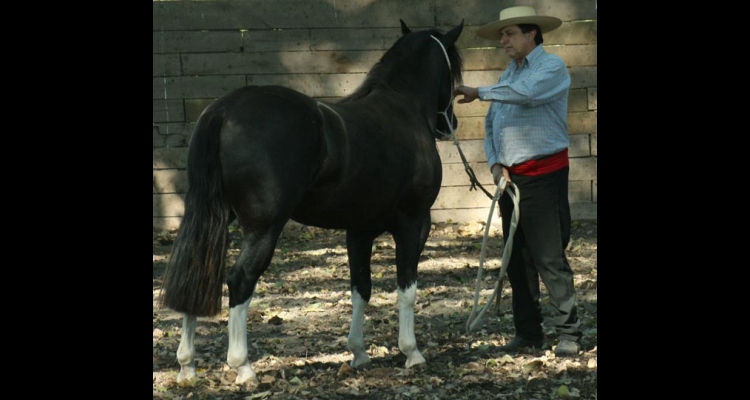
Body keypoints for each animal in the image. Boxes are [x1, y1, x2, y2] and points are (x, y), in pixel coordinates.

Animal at [162, 19, 462, 384]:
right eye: (453, 69)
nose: (450, 123)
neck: (401, 110)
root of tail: (223, 110)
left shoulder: (358, 231)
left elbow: (361, 287)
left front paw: (359, 353)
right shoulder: (413, 223)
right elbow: (406, 288)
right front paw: (412, 353)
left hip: (211, 216)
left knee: (194, 274)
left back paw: (187, 365)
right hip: (263, 229)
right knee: (239, 279)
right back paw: (243, 366)